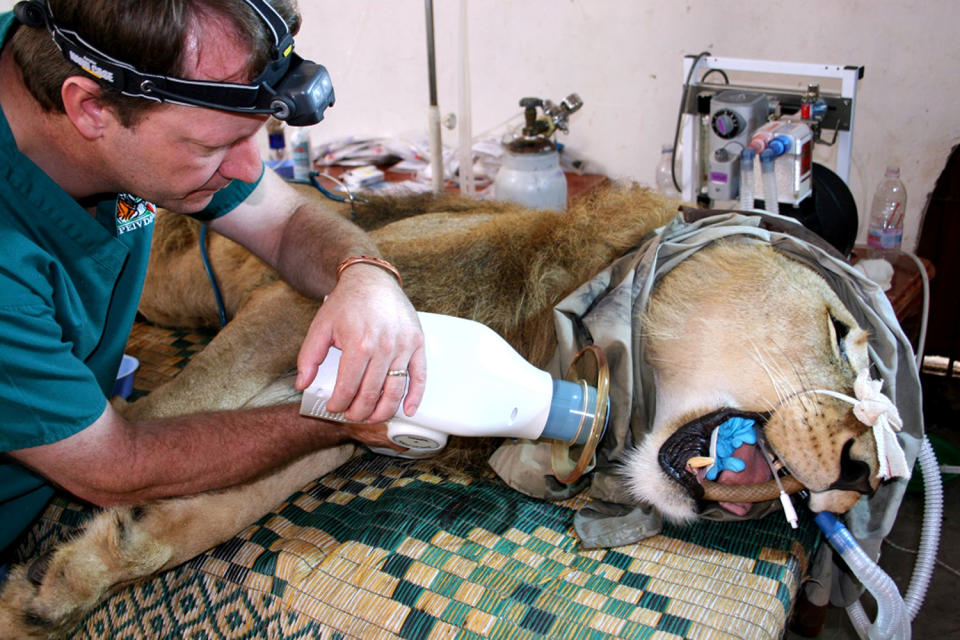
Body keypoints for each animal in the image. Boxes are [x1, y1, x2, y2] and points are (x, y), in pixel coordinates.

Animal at [0, 182, 908, 636]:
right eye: (840, 332)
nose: (865, 477)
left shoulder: (346, 424)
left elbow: (205, 505)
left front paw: (60, 583)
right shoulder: (302, 307)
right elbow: (152, 428)